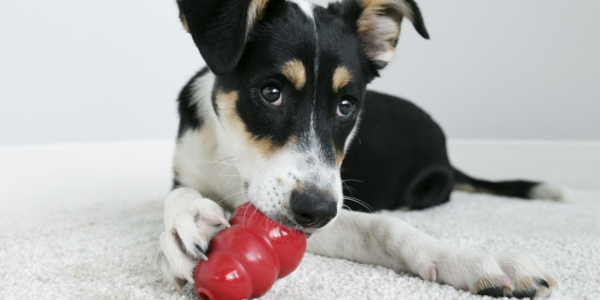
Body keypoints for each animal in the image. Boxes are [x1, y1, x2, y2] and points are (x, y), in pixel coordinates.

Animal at [158, 0, 564, 298]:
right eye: (271, 92)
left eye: (346, 105)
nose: (316, 212)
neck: (230, 161)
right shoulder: (189, 169)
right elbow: (177, 196)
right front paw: (187, 222)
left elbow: (384, 228)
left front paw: (479, 261)